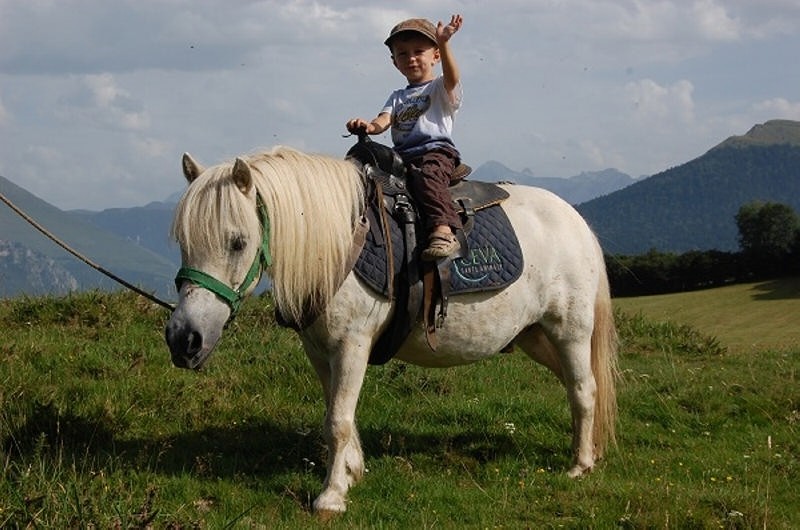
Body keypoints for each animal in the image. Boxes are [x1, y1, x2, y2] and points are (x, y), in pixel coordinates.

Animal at [166, 144, 620, 512]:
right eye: (183, 242)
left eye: (238, 242)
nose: (184, 339)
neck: (337, 244)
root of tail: (575, 220)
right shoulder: (320, 351)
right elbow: (336, 413)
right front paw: (351, 471)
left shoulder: (352, 345)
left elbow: (339, 420)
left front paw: (332, 496)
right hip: (534, 335)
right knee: (577, 385)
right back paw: (590, 449)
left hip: (569, 330)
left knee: (584, 389)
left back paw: (580, 464)